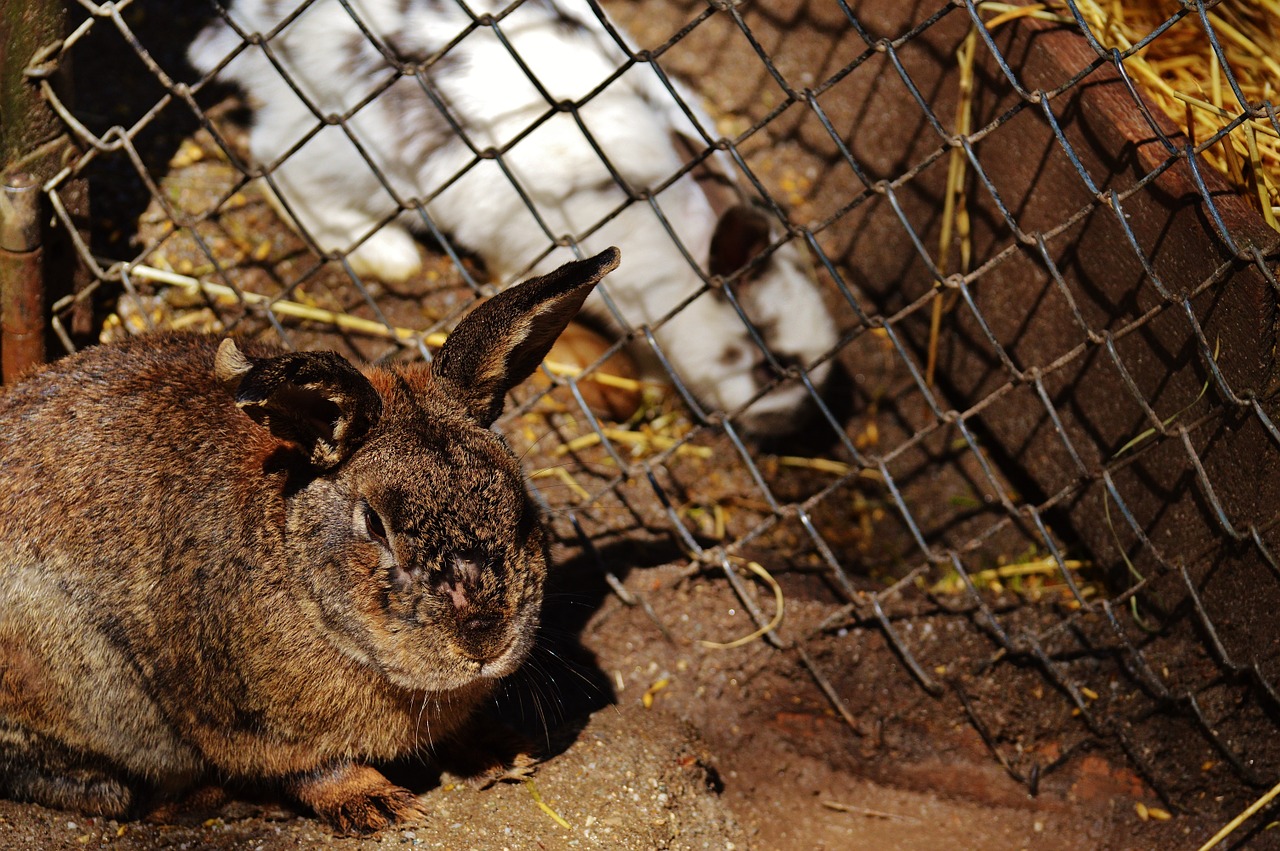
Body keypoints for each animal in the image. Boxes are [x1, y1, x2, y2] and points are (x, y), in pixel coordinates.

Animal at [0, 245, 622, 829]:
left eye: (520, 502)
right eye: (374, 524)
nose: (484, 641)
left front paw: (504, 752)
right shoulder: (260, 728)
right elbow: (318, 769)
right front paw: (379, 805)